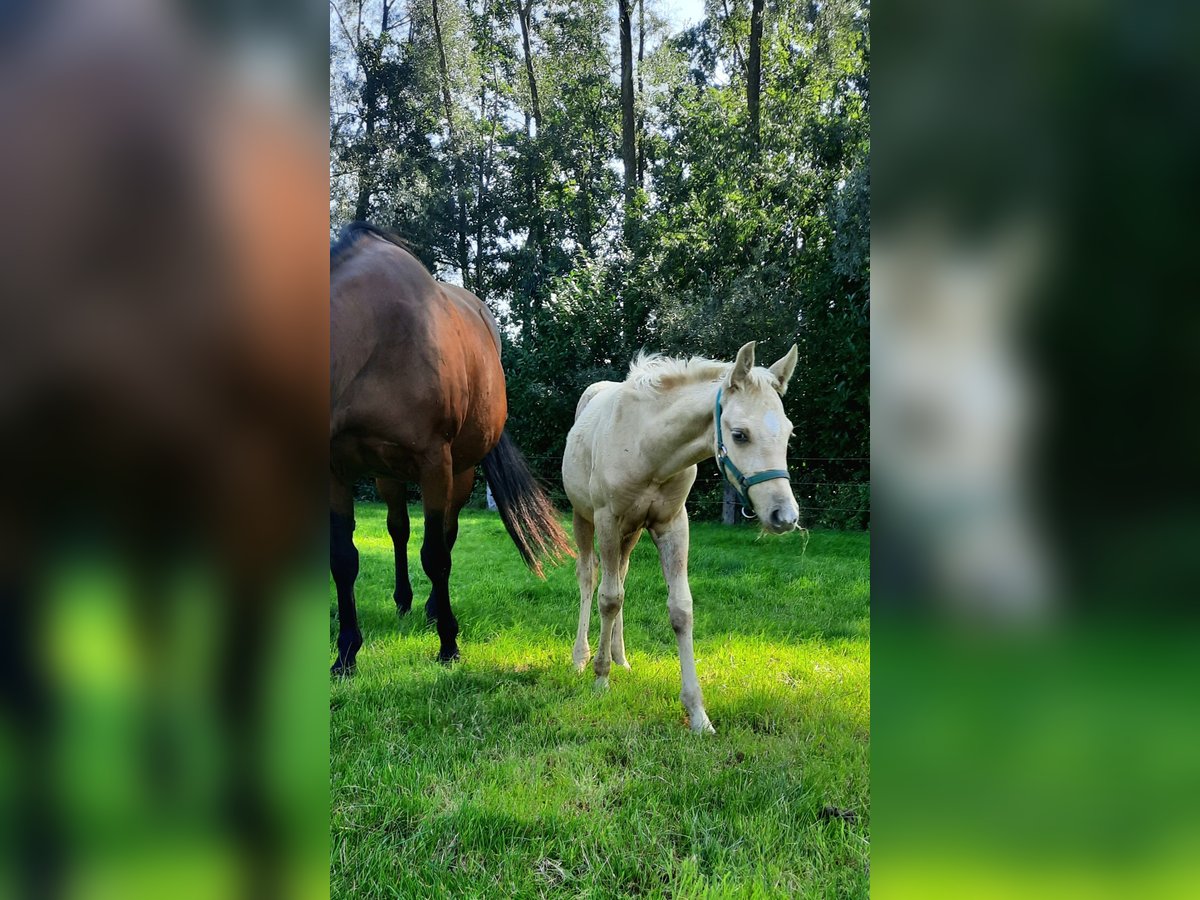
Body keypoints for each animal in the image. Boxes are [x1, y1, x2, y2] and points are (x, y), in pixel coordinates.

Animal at [328, 224, 571, 672]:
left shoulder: (435, 462)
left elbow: (437, 555)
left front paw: (448, 643)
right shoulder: (336, 468)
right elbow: (343, 559)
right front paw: (347, 653)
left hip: (460, 471)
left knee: (447, 534)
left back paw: (431, 609)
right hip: (387, 475)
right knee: (399, 529)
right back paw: (404, 600)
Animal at [559, 340, 796, 734]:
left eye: (790, 433)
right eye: (739, 434)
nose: (785, 516)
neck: (649, 448)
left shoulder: (672, 524)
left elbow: (680, 609)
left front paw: (698, 713)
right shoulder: (608, 519)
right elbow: (608, 599)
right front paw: (599, 678)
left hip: (631, 533)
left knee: (620, 575)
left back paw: (621, 658)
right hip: (584, 518)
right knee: (589, 578)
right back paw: (582, 657)